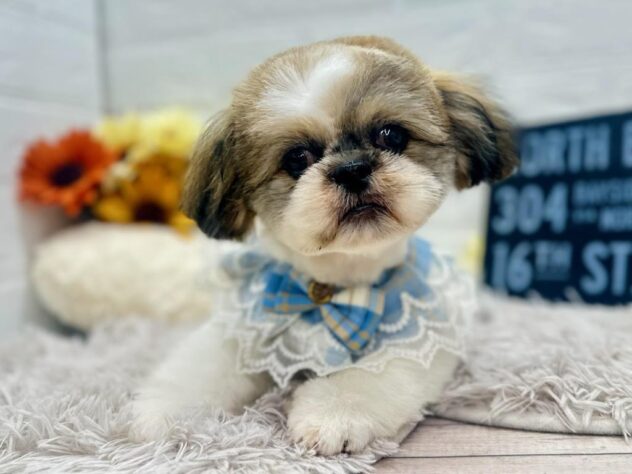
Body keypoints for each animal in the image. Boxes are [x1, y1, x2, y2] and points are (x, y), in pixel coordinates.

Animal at [131, 36, 517, 455]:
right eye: (297, 158)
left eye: (392, 136)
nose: (352, 169)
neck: (331, 287)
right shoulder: (246, 327)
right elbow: (201, 367)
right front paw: (164, 412)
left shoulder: (419, 339)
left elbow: (370, 376)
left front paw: (334, 415)